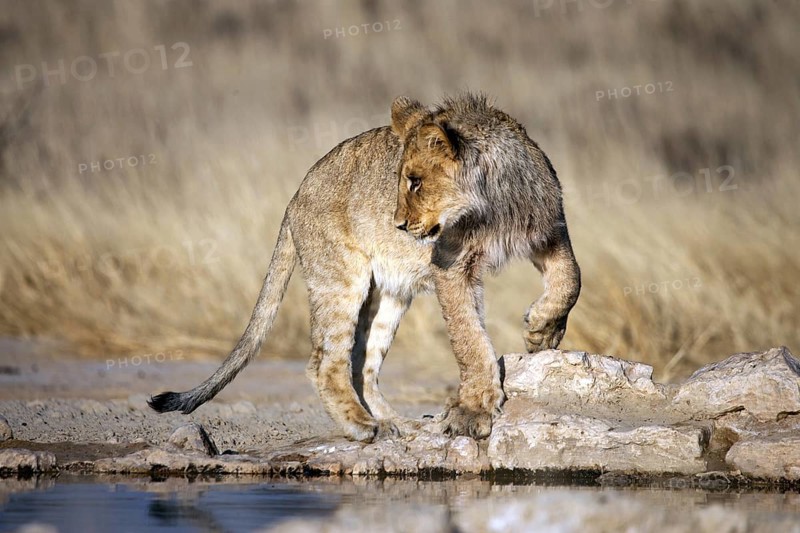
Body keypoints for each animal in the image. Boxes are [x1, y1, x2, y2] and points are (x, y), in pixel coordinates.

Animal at [149, 93, 581, 442]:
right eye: (403, 180)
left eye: (415, 181)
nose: (399, 225)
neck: (494, 209)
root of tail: (294, 196)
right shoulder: (449, 264)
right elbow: (469, 338)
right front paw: (474, 410)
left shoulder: (550, 232)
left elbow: (570, 280)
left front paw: (542, 331)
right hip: (342, 280)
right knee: (325, 362)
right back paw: (363, 426)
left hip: (389, 293)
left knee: (363, 366)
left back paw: (397, 424)